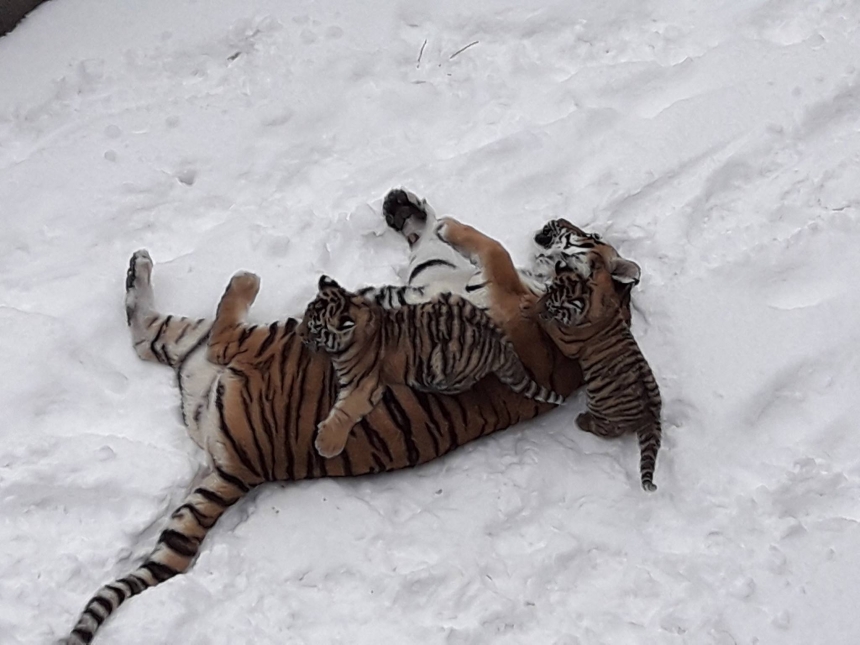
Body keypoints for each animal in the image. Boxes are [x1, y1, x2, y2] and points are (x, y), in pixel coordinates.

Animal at [290, 274, 564, 456]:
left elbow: (345, 411)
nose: (298, 334)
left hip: (444, 365)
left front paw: (326, 444)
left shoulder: (364, 384)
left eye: (315, 329)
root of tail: (499, 346)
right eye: (306, 317)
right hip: (449, 298)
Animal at [524, 254, 664, 490]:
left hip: (605, 412)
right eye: (547, 289)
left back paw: (582, 420)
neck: (591, 298)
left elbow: (551, 325)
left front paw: (529, 307)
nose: (540, 303)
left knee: (605, 430)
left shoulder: (568, 340)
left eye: (555, 306)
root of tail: (650, 415)